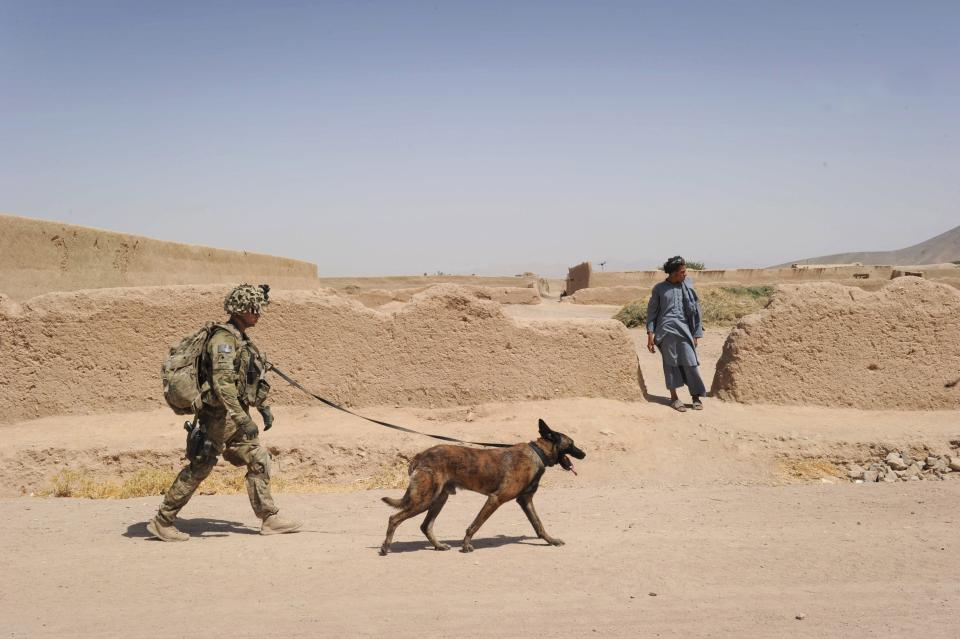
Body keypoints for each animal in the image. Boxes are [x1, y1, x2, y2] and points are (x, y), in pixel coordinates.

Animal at [378, 420, 580, 556]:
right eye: (571, 444)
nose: (583, 454)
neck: (537, 453)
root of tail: (421, 455)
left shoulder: (525, 501)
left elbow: (539, 525)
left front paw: (551, 540)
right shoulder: (495, 499)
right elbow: (474, 525)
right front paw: (466, 545)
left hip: (439, 499)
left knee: (425, 525)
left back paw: (439, 545)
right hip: (424, 500)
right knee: (394, 518)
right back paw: (385, 547)